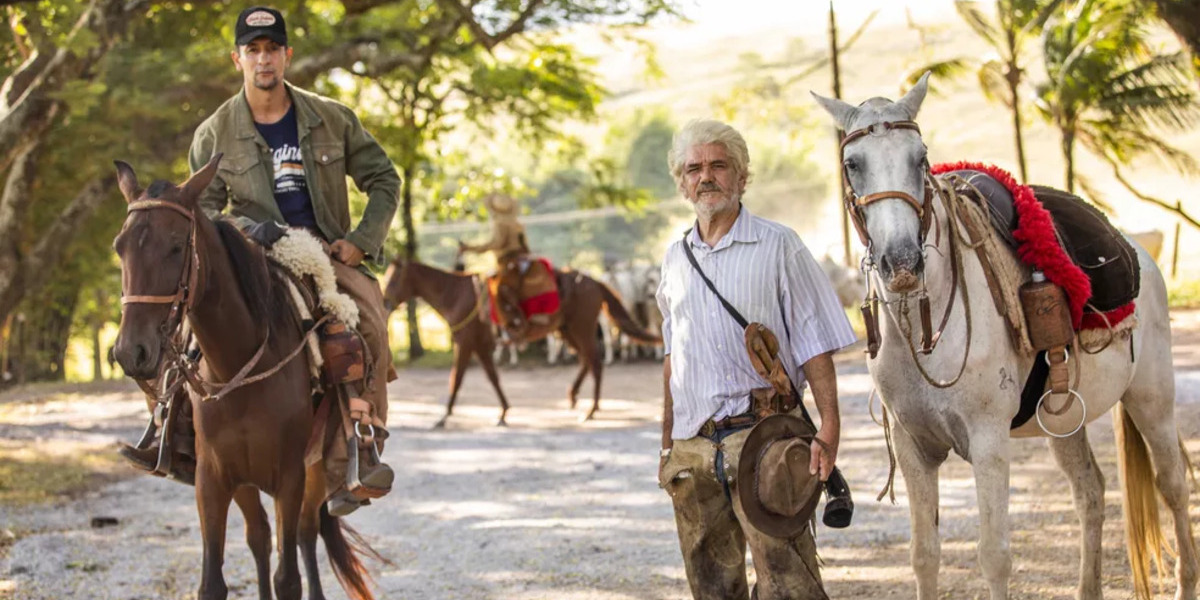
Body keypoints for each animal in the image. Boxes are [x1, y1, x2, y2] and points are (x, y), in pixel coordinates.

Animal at [112, 157, 376, 600]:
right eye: (120, 247)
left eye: (177, 246)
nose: (132, 352)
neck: (238, 367)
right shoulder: (213, 479)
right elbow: (213, 581)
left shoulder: (290, 476)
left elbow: (289, 577)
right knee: (260, 536)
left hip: (315, 467)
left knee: (306, 533)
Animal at [381, 258, 657, 422]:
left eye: (393, 279)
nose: (384, 303)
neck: (457, 295)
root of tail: (594, 281)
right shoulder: (480, 345)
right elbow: (491, 377)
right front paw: (503, 411)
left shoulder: (466, 343)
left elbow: (457, 378)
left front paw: (443, 415)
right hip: (569, 330)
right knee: (586, 361)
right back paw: (574, 397)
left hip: (582, 328)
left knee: (595, 362)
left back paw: (591, 409)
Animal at [811, 73, 1195, 600]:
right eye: (853, 164)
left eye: (920, 157)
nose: (903, 262)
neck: (926, 332)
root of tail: (1141, 255)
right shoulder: (914, 448)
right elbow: (924, 555)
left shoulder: (989, 441)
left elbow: (993, 556)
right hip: (1064, 419)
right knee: (1091, 492)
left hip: (1151, 397)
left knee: (1172, 483)